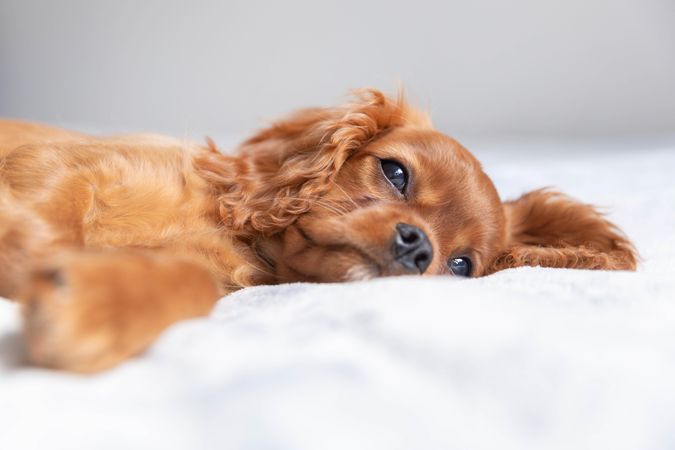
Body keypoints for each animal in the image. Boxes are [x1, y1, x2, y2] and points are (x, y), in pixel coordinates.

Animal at [0, 89, 636, 372]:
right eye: (396, 172)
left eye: (459, 267)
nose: (418, 249)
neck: (229, 232)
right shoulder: (58, 165)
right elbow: (51, 222)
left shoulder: (212, 279)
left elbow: (187, 285)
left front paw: (90, 305)